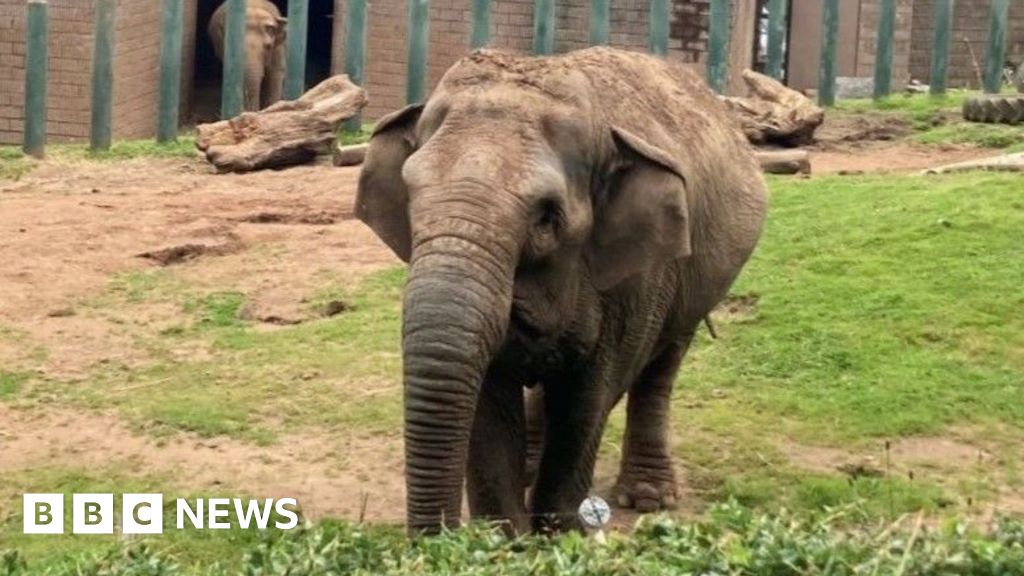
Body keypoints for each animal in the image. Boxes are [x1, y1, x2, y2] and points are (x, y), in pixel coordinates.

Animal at [355, 47, 768, 535]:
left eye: (547, 217)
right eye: (410, 197)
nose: (436, 538)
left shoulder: (639, 276)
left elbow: (588, 396)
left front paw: (556, 535)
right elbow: (489, 393)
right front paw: (503, 537)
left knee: (662, 364)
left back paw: (647, 497)